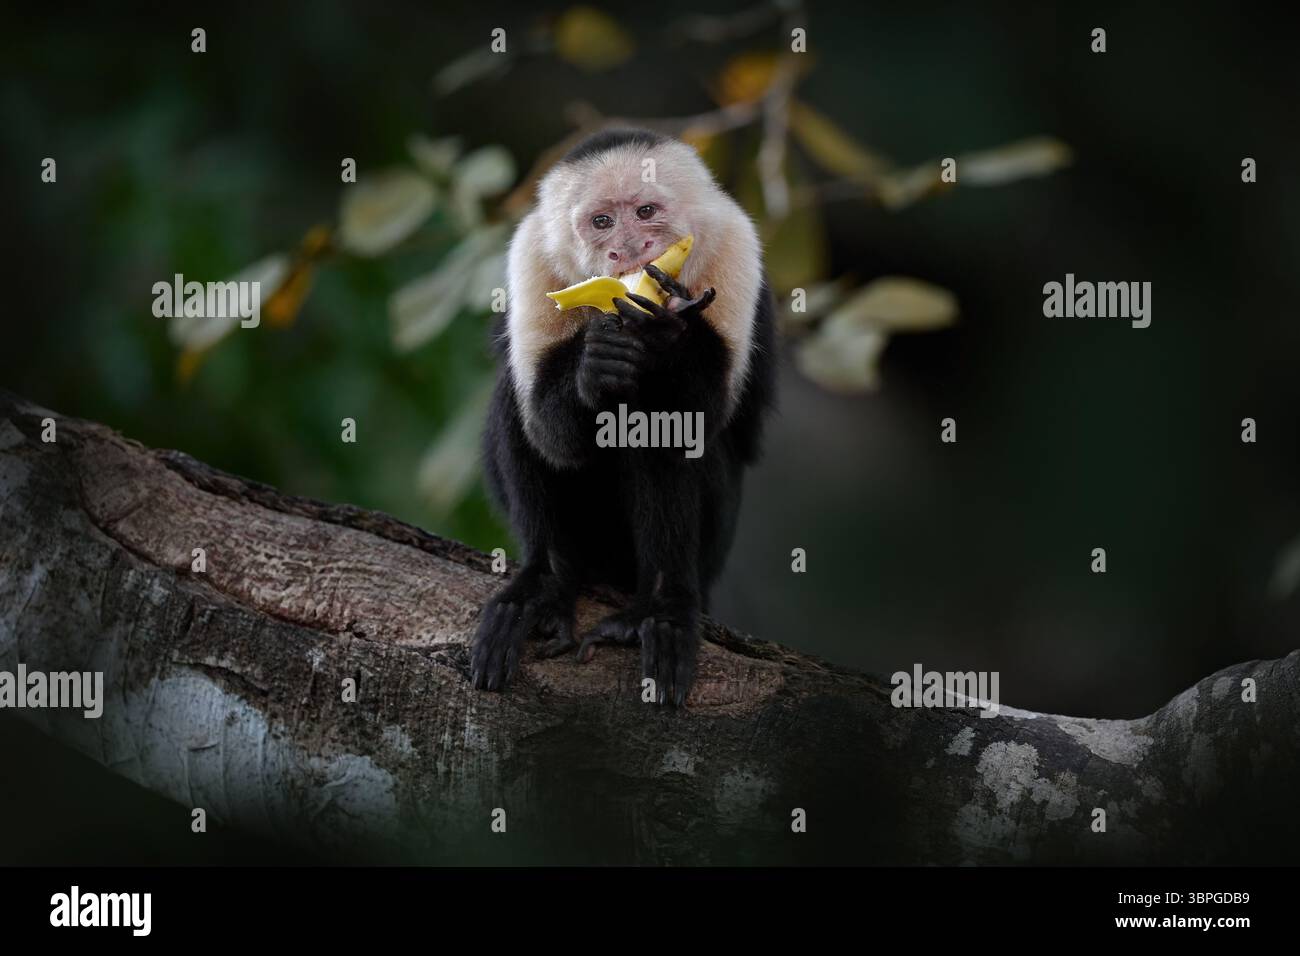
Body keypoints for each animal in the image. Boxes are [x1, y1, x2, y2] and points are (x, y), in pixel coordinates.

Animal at [470, 127, 776, 705]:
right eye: (602, 222)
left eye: (646, 211)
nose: (628, 249)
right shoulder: (532, 256)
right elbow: (547, 430)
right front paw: (597, 365)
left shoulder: (735, 242)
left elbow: (703, 418)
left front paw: (662, 339)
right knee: (517, 404)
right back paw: (544, 583)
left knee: (657, 418)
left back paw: (661, 605)